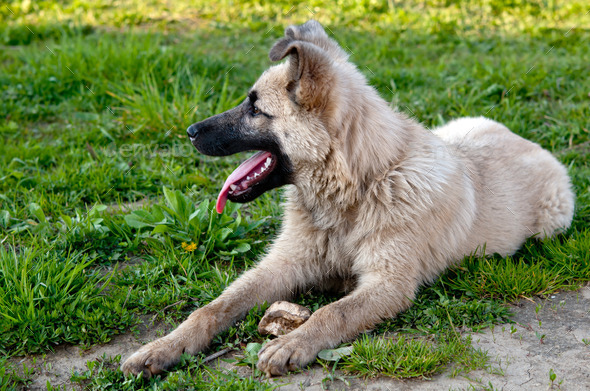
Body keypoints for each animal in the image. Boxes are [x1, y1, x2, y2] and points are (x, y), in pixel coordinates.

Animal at [121, 19, 580, 378]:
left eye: (255, 109)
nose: (190, 131)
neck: (358, 189)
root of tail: (521, 138)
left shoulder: (388, 285)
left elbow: (333, 312)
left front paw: (293, 343)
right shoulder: (280, 266)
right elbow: (214, 306)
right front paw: (162, 348)